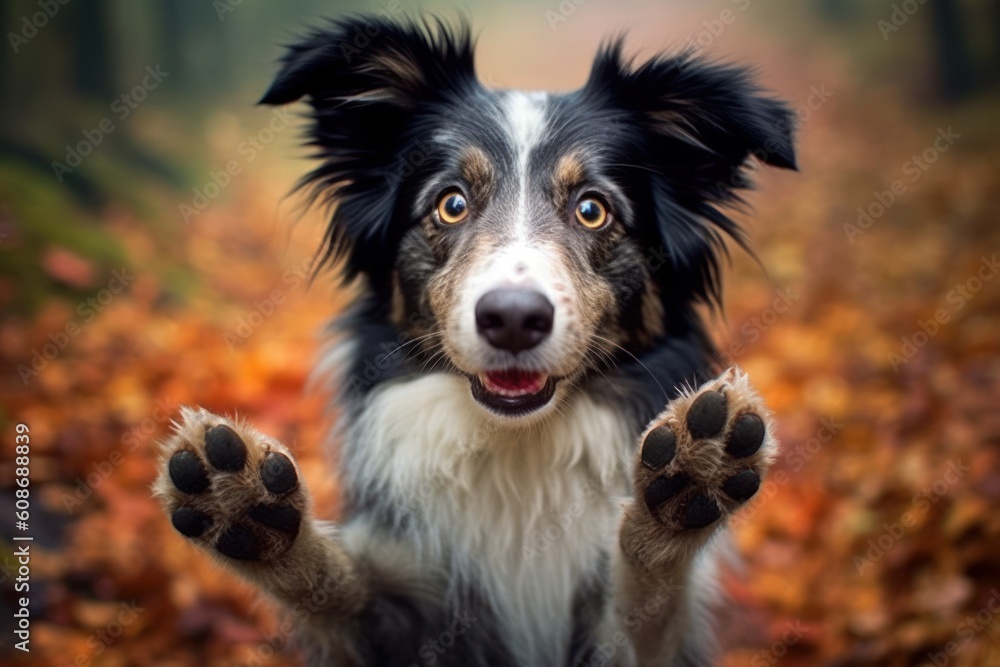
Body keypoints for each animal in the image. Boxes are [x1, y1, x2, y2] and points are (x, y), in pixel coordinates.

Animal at [156, 17, 796, 667]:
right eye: (452, 204)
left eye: (592, 210)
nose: (512, 318)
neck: (518, 448)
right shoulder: (407, 609)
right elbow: (334, 590)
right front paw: (245, 508)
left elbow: (650, 599)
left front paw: (688, 485)